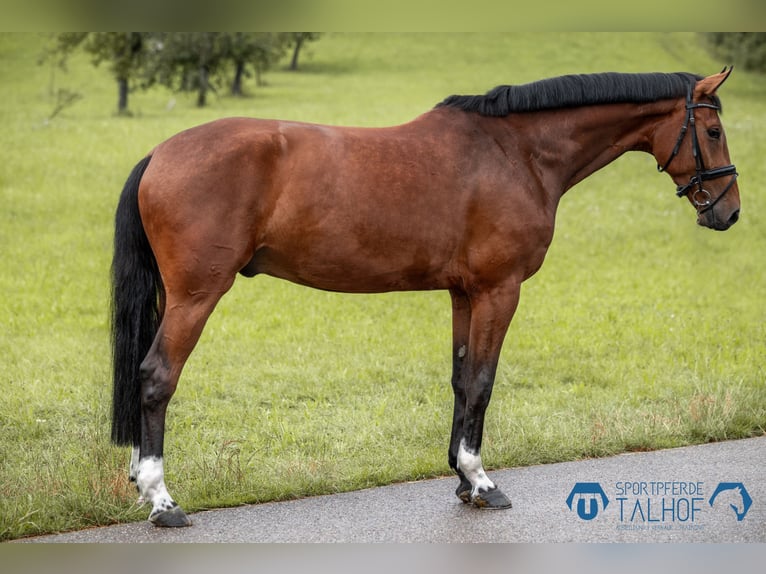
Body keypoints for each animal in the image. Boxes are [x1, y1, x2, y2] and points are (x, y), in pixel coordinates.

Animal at [111, 70, 740, 528]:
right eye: (712, 132)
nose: (729, 211)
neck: (517, 152)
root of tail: (159, 154)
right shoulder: (498, 290)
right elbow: (483, 382)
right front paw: (482, 482)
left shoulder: (464, 293)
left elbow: (462, 381)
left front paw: (461, 479)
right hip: (196, 296)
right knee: (156, 377)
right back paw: (162, 500)